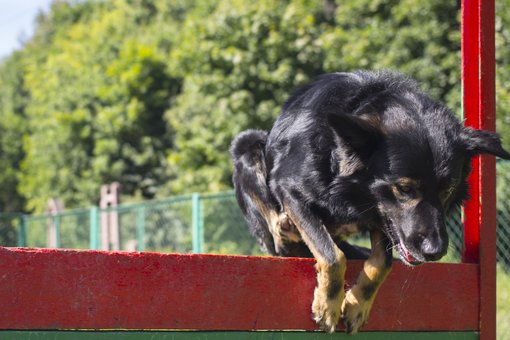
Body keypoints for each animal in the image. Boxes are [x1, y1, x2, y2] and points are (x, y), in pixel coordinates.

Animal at [230, 70, 510, 334]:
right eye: (404, 189)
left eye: (448, 189)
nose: (435, 252)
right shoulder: (289, 188)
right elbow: (332, 254)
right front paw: (328, 306)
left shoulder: (384, 218)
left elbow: (383, 262)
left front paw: (356, 305)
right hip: (248, 142)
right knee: (282, 239)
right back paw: (285, 229)